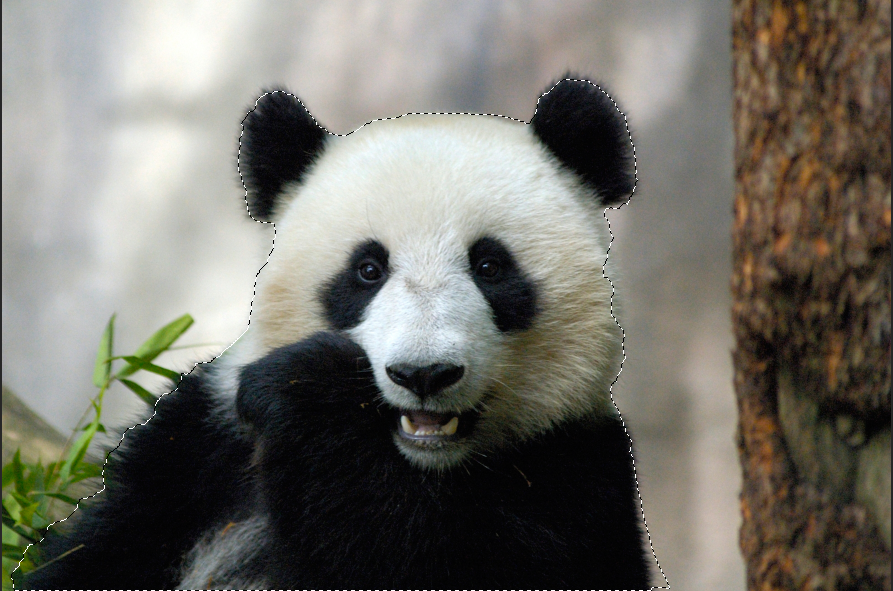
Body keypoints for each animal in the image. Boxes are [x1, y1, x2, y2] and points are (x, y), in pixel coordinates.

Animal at [24, 76, 653, 589]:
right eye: (367, 270)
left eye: (490, 266)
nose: (424, 374)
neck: (421, 465)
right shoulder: (197, 451)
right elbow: (99, 551)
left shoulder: (576, 477)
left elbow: (408, 560)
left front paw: (312, 389)